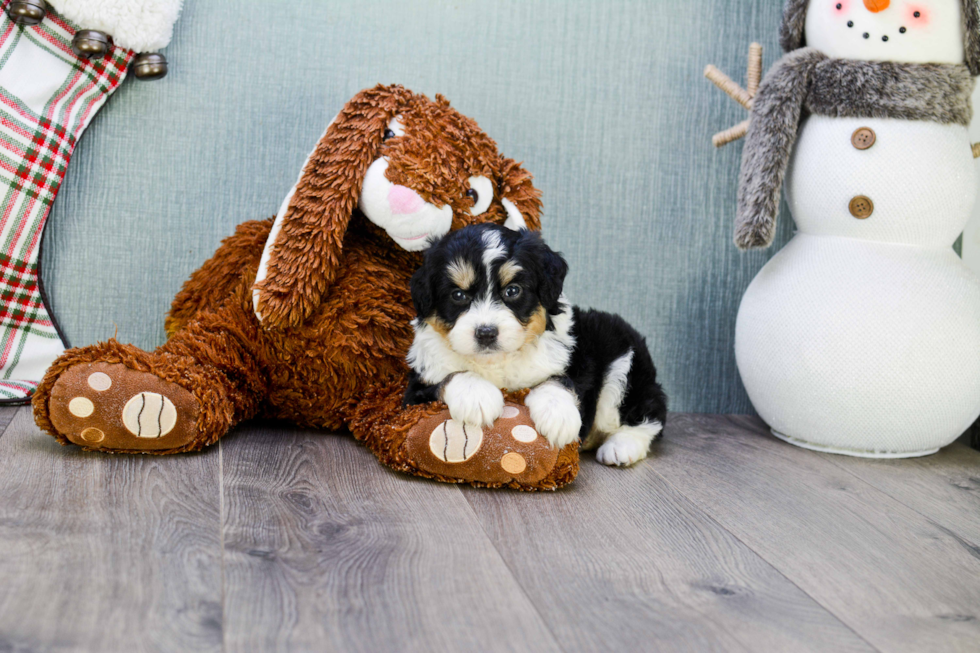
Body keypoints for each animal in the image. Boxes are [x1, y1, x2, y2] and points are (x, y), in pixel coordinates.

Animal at [404, 223, 668, 464]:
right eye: (458, 295)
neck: (498, 362)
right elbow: (451, 377)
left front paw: (558, 416)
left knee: (648, 413)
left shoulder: (576, 362)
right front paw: (476, 395)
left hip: (621, 359)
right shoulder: (413, 393)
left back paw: (620, 447)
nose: (486, 333)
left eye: (512, 291)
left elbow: (558, 380)